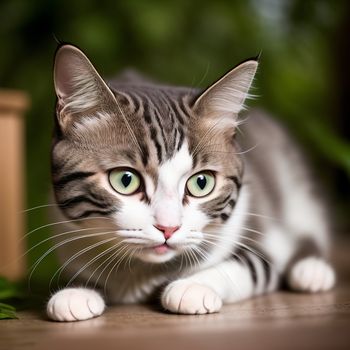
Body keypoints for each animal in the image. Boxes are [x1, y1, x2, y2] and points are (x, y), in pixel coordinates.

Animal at [45, 45, 334, 322]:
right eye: (125, 180)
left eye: (201, 183)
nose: (168, 228)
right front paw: (76, 292)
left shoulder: (263, 237)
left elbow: (246, 265)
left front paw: (193, 287)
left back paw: (312, 270)